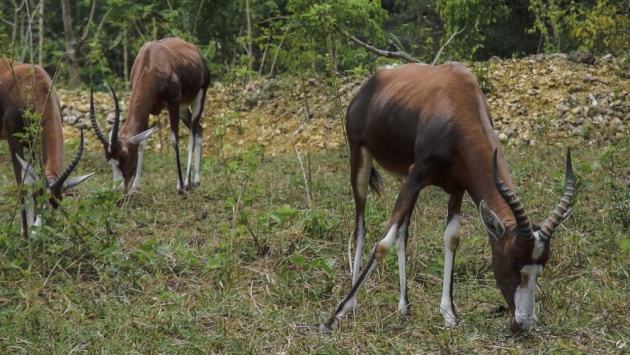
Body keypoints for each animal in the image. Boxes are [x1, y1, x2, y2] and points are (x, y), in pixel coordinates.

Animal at [0, 58, 95, 239]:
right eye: (40, 196)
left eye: (56, 203)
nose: (36, 233)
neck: (30, 83)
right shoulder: (14, 140)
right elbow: (23, 182)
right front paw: (25, 234)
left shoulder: (32, 143)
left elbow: (31, 179)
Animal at [90, 38, 212, 195]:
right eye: (109, 160)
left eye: (124, 158)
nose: (120, 188)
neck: (151, 59)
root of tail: (196, 53)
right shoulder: (149, 109)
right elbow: (143, 142)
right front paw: (135, 187)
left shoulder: (173, 102)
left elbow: (174, 140)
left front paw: (179, 187)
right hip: (183, 109)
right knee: (199, 129)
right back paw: (196, 181)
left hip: (198, 98)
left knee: (192, 134)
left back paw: (187, 183)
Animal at [324, 63, 580, 334]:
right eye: (512, 259)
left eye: (543, 262)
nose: (525, 323)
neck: (456, 97)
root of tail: (373, 81)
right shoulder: (417, 175)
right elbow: (383, 243)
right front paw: (335, 316)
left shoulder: (457, 188)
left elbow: (452, 238)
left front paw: (449, 314)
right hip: (361, 158)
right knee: (361, 226)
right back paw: (352, 307)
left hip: (404, 177)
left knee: (403, 232)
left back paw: (404, 308)